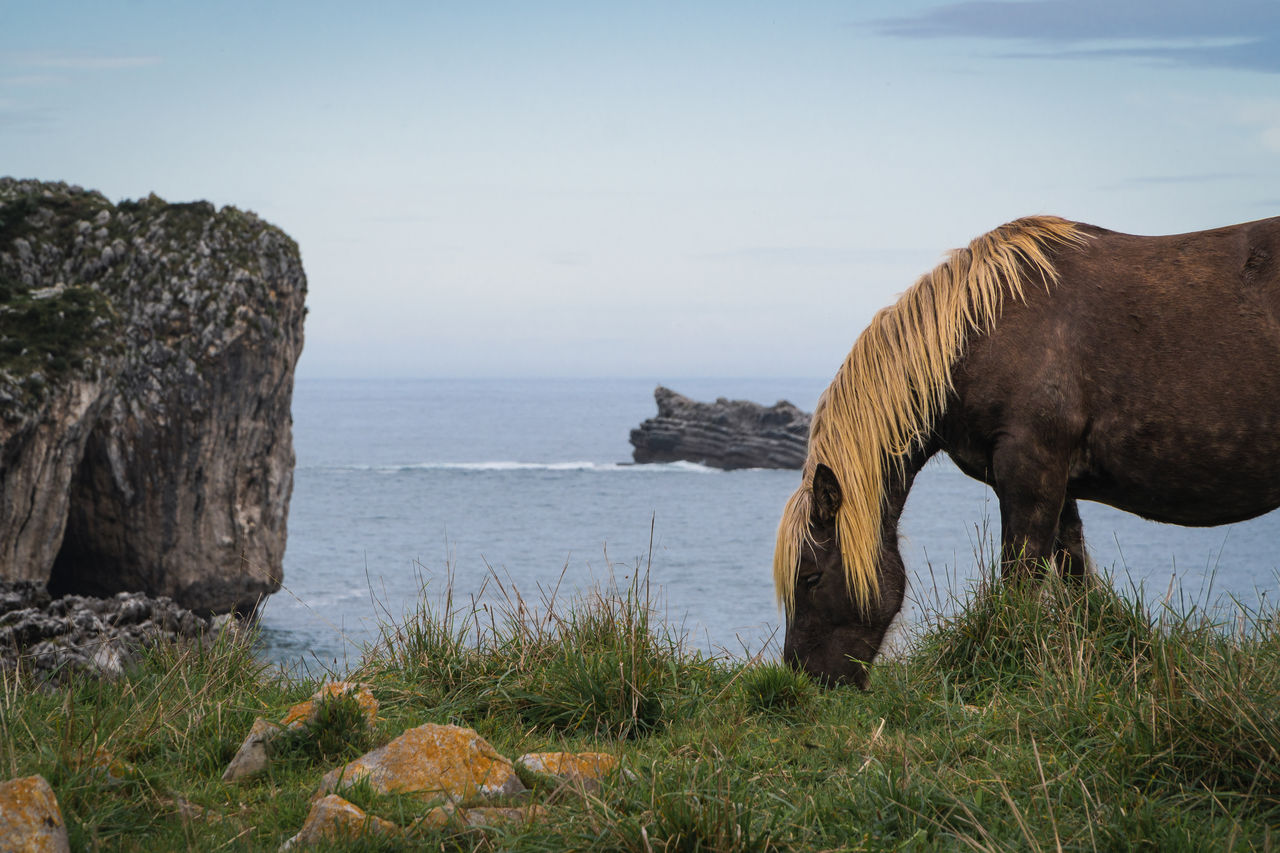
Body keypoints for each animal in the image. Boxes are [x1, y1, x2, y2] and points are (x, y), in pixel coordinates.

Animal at [773, 212, 1280, 686]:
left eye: (811, 577)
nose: (804, 679)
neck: (981, 331)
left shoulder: (1030, 471)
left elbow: (1020, 580)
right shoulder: (1057, 481)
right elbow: (1074, 571)